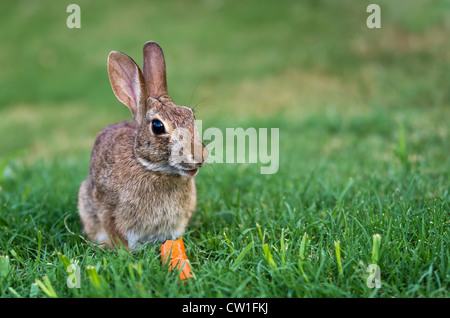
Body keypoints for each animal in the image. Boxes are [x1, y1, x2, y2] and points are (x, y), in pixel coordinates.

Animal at [78, 41, 209, 250]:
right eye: (157, 126)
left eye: (191, 115)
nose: (200, 156)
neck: (151, 167)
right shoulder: (108, 208)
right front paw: (124, 252)